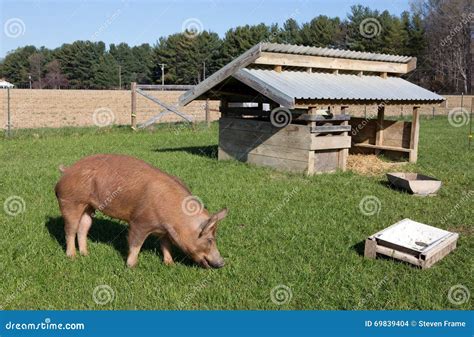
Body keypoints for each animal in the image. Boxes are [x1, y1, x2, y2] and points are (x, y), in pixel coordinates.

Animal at [53, 154, 228, 268]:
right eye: (210, 240)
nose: (222, 263)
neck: (176, 218)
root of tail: (66, 170)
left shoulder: (164, 231)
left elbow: (165, 245)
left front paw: (169, 264)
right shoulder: (139, 222)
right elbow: (135, 243)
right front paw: (131, 266)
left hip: (88, 207)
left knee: (83, 227)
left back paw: (85, 254)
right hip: (69, 202)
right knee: (69, 229)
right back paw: (72, 257)